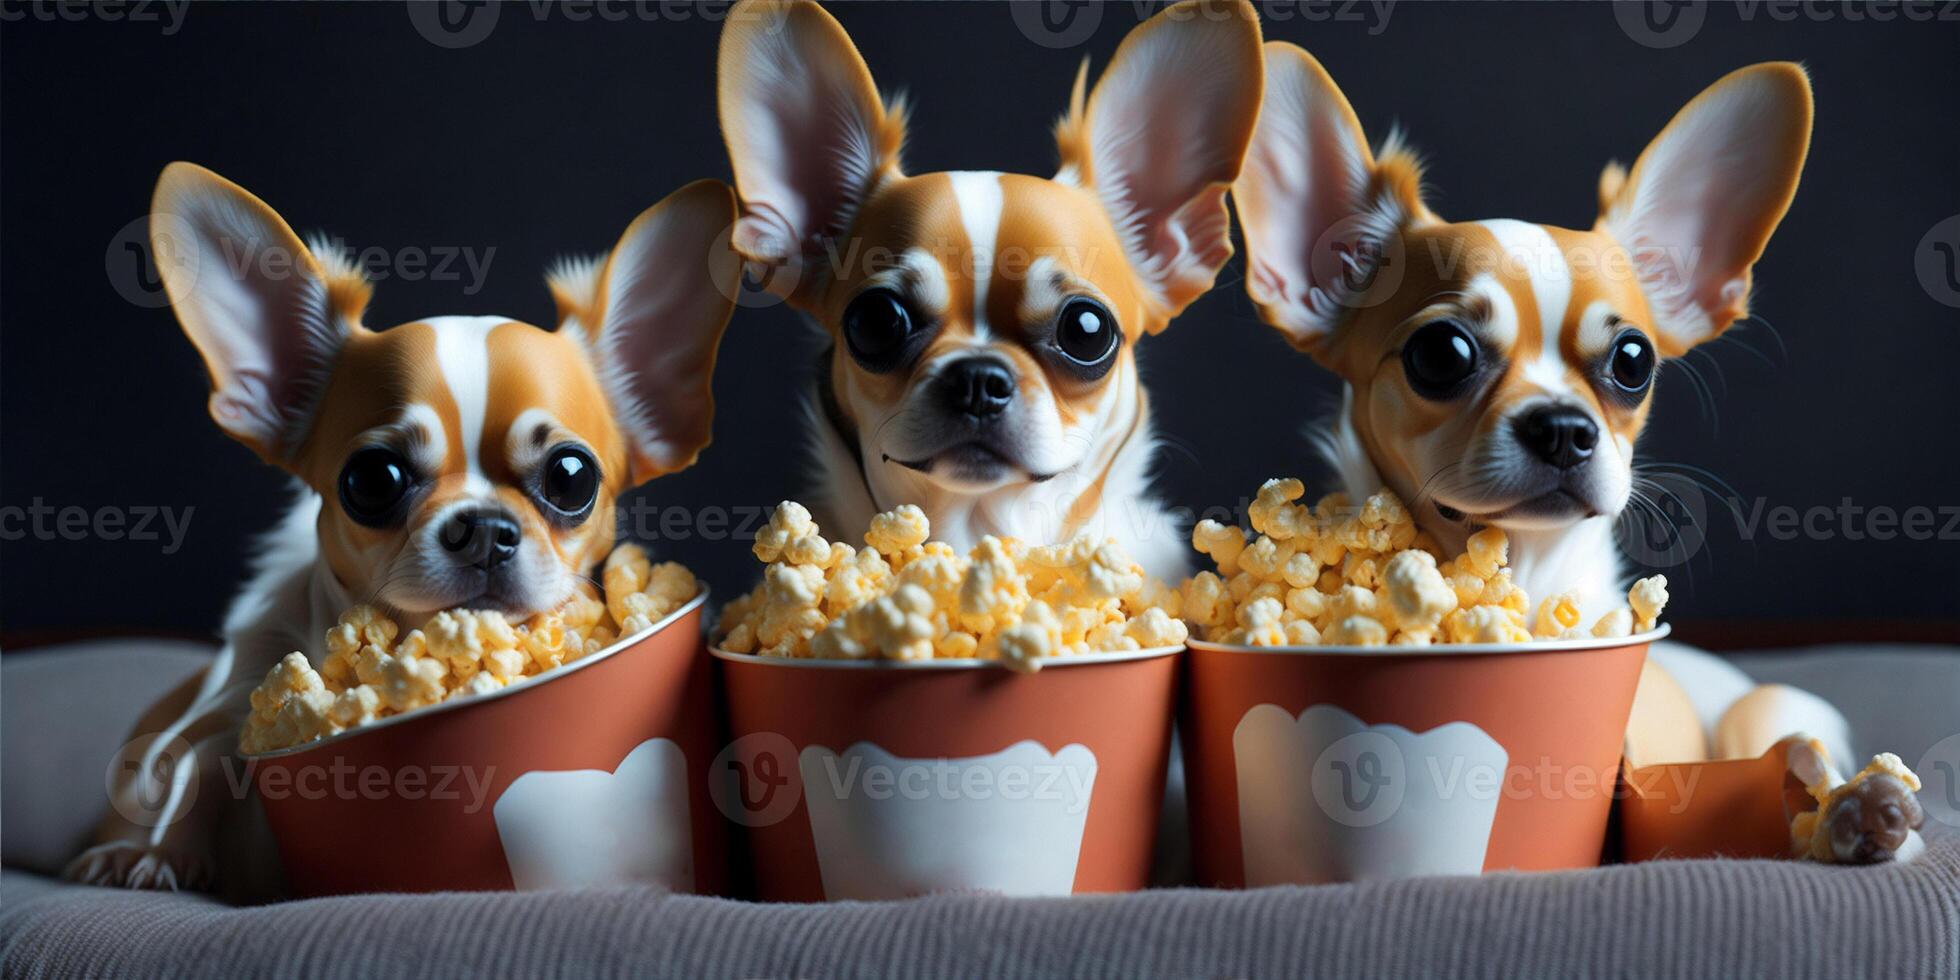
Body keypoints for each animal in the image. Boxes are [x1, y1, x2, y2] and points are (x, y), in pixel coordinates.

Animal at [71, 166, 736, 889]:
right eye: (373, 480)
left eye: (571, 478)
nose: (483, 528)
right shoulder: (239, 695)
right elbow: (197, 760)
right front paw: (156, 853)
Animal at [1230, 47, 1920, 858]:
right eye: (1441, 354)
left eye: (1633, 361)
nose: (1562, 426)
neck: (1528, 576)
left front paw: (1859, 805)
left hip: (1768, 701)